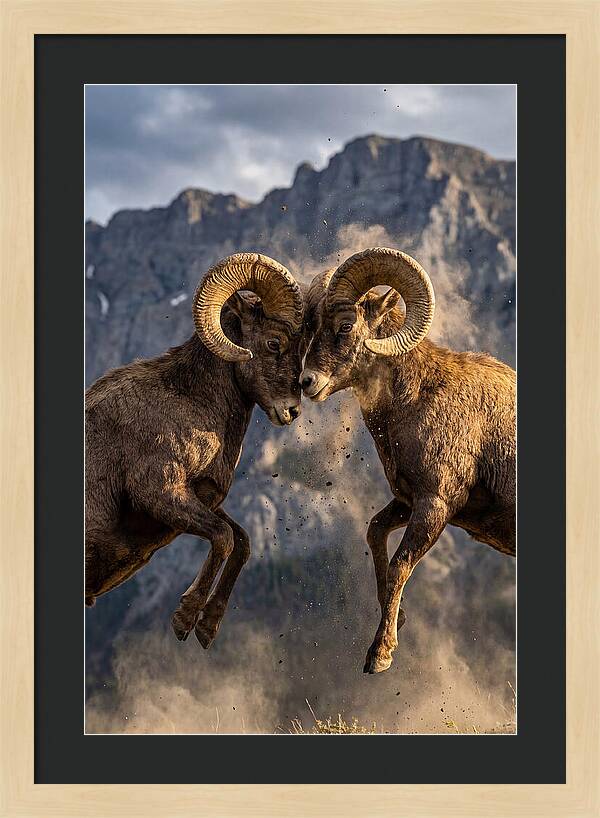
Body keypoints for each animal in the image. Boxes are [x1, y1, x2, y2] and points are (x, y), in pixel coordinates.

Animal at [86, 253, 306, 648]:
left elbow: (242, 541)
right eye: (273, 343)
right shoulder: (160, 493)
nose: (292, 410)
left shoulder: (201, 500)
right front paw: (185, 619)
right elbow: (223, 538)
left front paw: (207, 627)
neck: (190, 401)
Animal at [300, 247, 515, 674]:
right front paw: (397, 619)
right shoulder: (406, 501)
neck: (417, 398)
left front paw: (380, 655)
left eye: (346, 325)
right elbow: (374, 533)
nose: (306, 382)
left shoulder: (435, 505)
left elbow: (401, 565)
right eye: (311, 325)